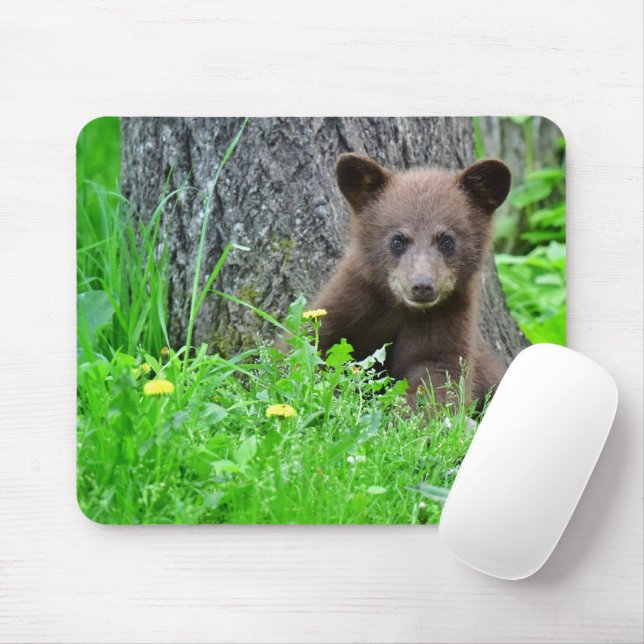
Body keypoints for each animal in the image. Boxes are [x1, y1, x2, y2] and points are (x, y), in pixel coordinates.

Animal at [308, 153, 511, 408]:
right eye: (398, 240)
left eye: (447, 240)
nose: (422, 285)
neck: (399, 308)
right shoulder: (352, 300)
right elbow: (314, 343)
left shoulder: (446, 318)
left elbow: (438, 375)